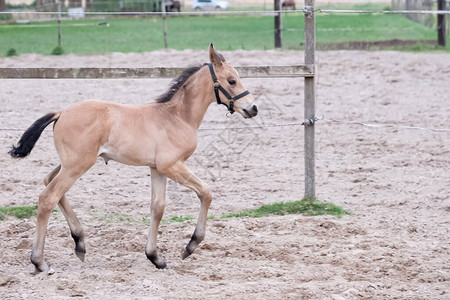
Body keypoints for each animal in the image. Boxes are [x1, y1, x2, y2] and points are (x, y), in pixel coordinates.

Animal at [9, 44, 256, 272]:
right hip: (77, 165)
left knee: (48, 181)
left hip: (70, 163)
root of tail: (61, 113)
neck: (177, 117)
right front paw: (190, 246)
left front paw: (155, 257)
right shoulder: (172, 165)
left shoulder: (157, 169)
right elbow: (206, 192)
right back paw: (39, 261)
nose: (253, 108)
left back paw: (79, 242)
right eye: (232, 81)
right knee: (48, 197)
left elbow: (158, 207)